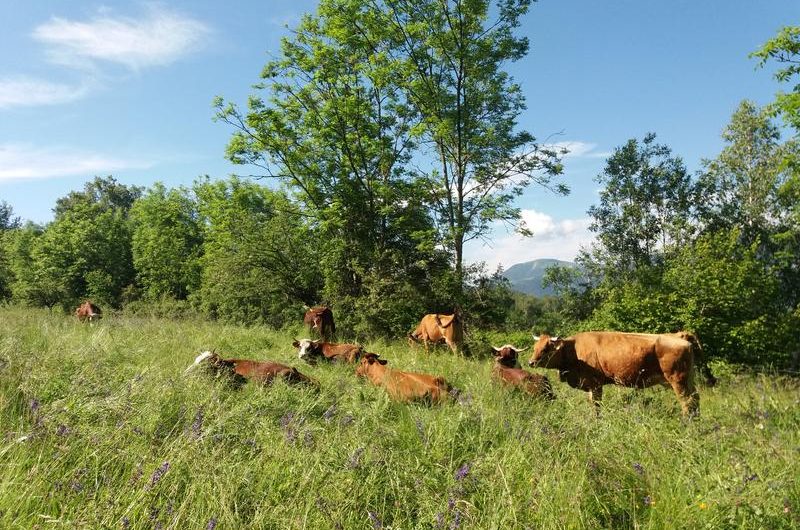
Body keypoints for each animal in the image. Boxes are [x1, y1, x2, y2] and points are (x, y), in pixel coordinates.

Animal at [532, 330, 700, 416]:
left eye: (546, 348)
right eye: (535, 347)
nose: (530, 362)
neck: (573, 349)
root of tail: (677, 335)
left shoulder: (595, 384)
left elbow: (596, 405)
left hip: (677, 380)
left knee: (687, 402)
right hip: (687, 380)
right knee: (695, 399)